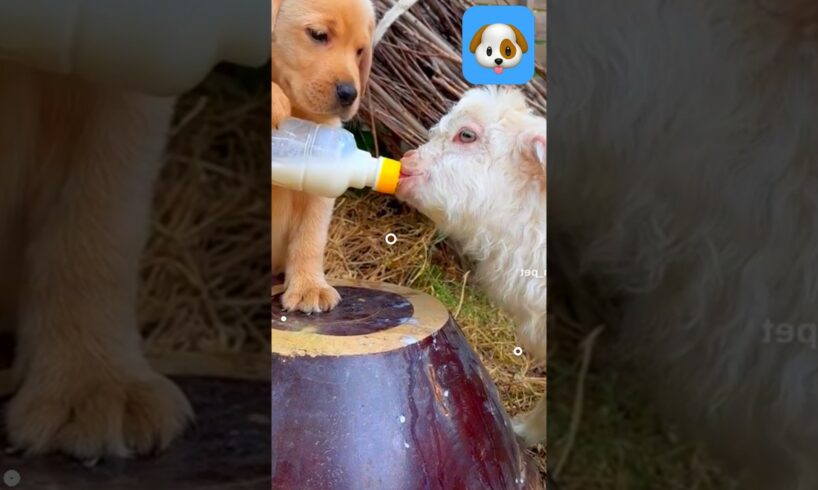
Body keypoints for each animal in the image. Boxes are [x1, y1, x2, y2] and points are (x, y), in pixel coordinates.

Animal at [274, 0, 376, 312]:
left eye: (360, 51)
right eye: (318, 35)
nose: (349, 94)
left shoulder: (320, 186)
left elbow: (311, 236)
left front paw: (309, 286)